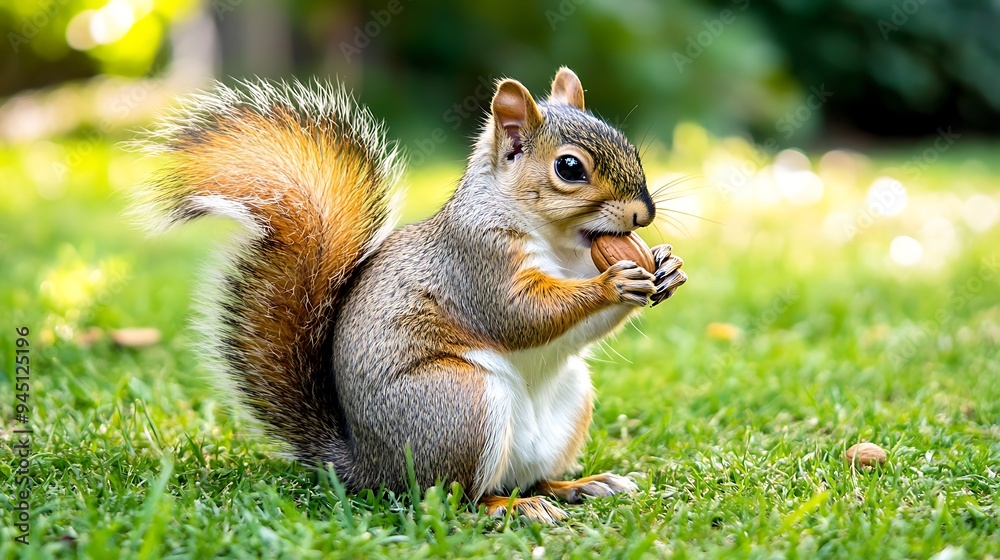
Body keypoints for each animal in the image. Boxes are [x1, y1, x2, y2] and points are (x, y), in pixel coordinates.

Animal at [135, 68, 688, 524]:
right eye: (570, 168)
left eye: (630, 147)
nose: (644, 214)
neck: (560, 244)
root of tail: (366, 467)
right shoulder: (475, 264)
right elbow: (521, 316)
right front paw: (612, 283)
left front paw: (666, 265)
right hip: (458, 404)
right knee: (454, 496)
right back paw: (510, 506)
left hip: (565, 402)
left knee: (530, 475)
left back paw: (578, 485)